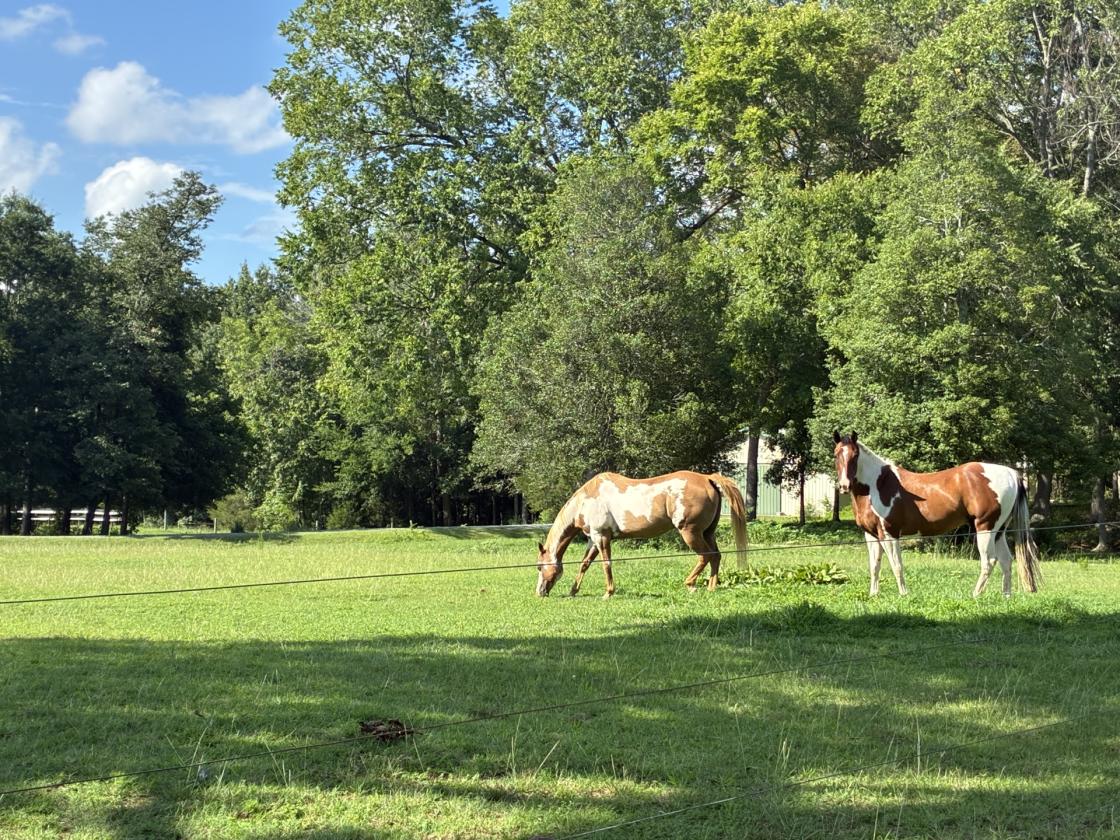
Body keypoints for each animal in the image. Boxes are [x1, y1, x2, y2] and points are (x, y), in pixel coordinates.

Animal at [535, 471, 748, 598]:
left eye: (538, 566)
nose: (539, 592)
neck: (586, 500)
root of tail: (707, 478)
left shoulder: (601, 537)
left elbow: (606, 564)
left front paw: (608, 593)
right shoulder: (593, 540)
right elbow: (584, 564)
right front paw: (573, 591)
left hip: (691, 532)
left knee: (705, 556)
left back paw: (690, 584)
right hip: (707, 533)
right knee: (715, 556)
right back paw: (711, 587)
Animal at [832, 431, 1041, 597]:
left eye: (855, 455)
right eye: (836, 455)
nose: (844, 486)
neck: (878, 485)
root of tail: (1011, 474)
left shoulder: (889, 534)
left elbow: (896, 565)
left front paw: (903, 594)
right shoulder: (871, 535)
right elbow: (875, 566)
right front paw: (873, 594)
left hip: (985, 528)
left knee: (989, 561)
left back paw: (975, 595)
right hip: (999, 531)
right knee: (1006, 560)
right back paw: (1006, 596)